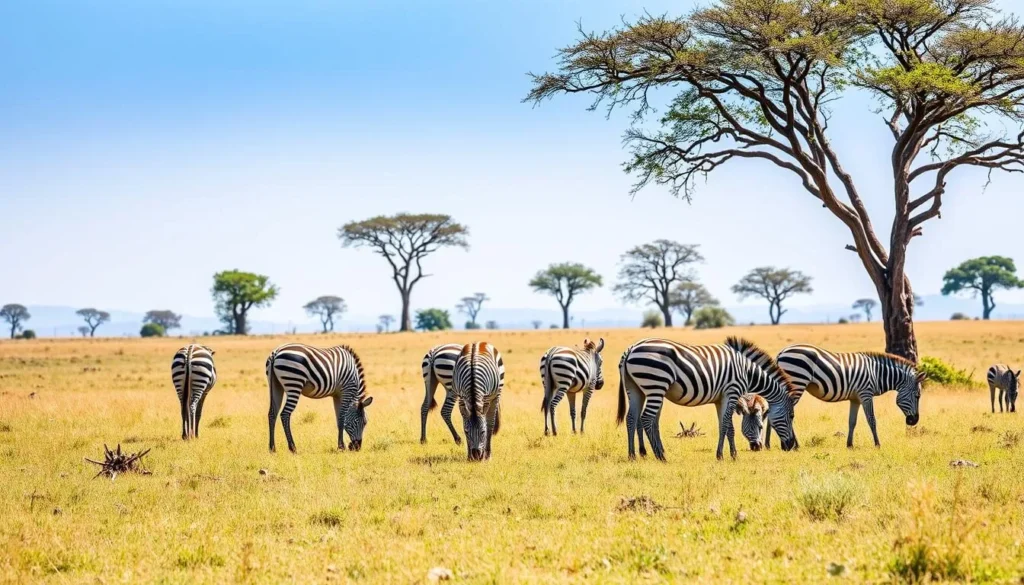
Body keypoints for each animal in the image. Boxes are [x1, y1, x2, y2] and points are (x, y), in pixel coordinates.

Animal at [616, 338, 796, 461]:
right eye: (791, 416)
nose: (791, 446)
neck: (748, 372)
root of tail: (631, 349)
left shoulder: (721, 398)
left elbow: (726, 426)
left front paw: (732, 454)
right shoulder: (732, 392)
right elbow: (726, 425)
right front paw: (722, 455)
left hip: (635, 389)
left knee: (631, 418)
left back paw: (632, 455)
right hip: (656, 385)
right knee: (646, 418)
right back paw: (660, 456)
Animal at [772, 344, 924, 449]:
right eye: (917, 396)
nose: (914, 421)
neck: (877, 374)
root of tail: (782, 352)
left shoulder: (855, 398)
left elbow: (852, 422)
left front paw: (849, 445)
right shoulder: (866, 394)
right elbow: (872, 420)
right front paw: (877, 444)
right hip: (797, 382)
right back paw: (794, 445)